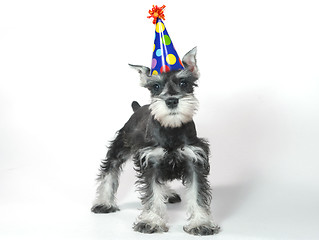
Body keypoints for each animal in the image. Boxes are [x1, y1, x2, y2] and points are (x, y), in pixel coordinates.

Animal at [90, 47, 220, 236]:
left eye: (183, 83)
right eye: (156, 86)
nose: (171, 100)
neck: (171, 129)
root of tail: (138, 108)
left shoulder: (195, 160)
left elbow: (197, 194)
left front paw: (201, 223)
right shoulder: (151, 162)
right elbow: (152, 193)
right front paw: (151, 221)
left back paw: (169, 194)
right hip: (120, 146)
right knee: (110, 170)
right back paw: (104, 203)